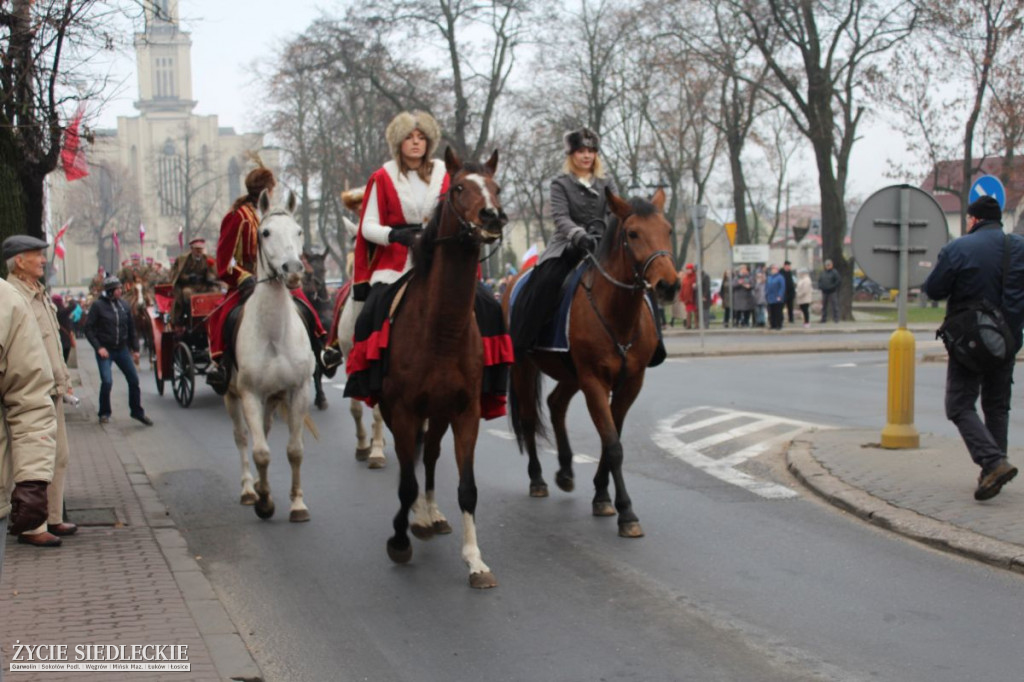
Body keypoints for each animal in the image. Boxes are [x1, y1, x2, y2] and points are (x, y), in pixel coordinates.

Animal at [227, 189, 315, 520]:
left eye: (299, 231)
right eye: (265, 233)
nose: (293, 271)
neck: (275, 333)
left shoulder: (298, 391)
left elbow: (295, 450)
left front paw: (298, 504)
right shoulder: (250, 394)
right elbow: (261, 452)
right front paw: (264, 502)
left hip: (273, 397)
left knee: (263, 430)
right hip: (233, 396)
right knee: (243, 438)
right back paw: (249, 489)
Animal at [378, 146, 505, 585]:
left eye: (497, 187)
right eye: (460, 188)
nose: (493, 216)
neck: (441, 334)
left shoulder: (465, 411)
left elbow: (467, 488)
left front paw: (475, 560)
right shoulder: (402, 410)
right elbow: (404, 482)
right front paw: (400, 538)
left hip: (440, 413)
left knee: (430, 456)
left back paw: (431, 514)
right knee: (412, 465)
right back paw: (418, 518)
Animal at [503, 186, 679, 536]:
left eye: (667, 230)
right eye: (633, 233)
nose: (669, 285)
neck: (617, 313)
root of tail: (512, 281)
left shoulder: (630, 383)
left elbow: (612, 439)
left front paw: (602, 496)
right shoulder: (594, 382)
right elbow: (612, 445)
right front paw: (626, 512)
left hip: (570, 375)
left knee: (556, 404)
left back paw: (565, 471)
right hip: (524, 368)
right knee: (529, 419)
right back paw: (538, 478)